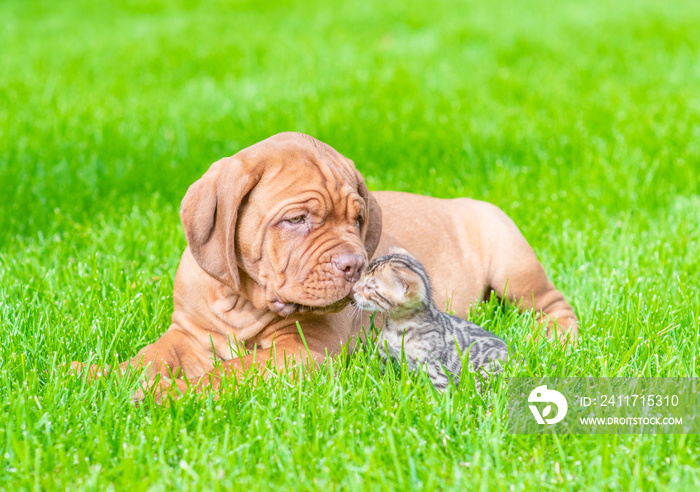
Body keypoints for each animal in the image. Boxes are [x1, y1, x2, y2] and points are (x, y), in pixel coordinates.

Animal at [356, 248, 508, 390]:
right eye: (360, 277)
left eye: (369, 287)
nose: (354, 290)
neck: (399, 326)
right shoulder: (384, 355)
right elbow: (377, 371)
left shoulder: (433, 366)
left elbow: (439, 391)